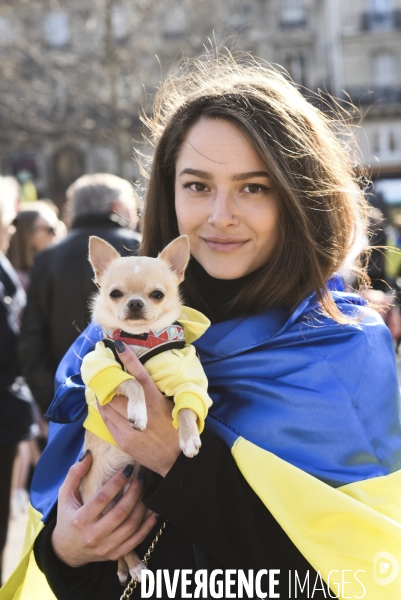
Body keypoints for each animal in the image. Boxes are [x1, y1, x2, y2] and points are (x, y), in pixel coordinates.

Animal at [79, 236, 209, 584]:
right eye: (115, 293)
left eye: (157, 294)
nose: (135, 303)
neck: (139, 340)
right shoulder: (102, 370)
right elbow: (133, 383)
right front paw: (139, 413)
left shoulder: (187, 378)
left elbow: (188, 408)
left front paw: (188, 440)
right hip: (102, 505)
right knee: (117, 547)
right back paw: (135, 565)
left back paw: (129, 567)